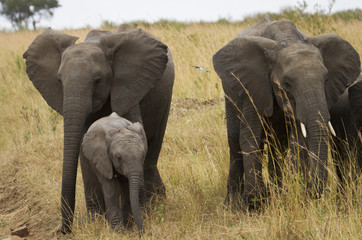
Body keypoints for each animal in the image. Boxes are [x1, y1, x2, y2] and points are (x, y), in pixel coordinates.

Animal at [23, 25, 175, 233]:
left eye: (98, 80)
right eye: (59, 81)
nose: (64, 230)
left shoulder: (129, 88)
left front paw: (141, 215)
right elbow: (82, 146)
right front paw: (94, 221)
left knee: (153, 148)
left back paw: (156, 204)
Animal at [212, 15, 360, 208]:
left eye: (326, 79)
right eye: (286, 83)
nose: (313, 190)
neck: (287, 40)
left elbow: (298, 140)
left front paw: (295, 196)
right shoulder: (253, 86)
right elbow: (250, 135)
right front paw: (254, 202)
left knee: (278, 146)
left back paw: (277, 193)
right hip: (230, 95)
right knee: (235, 140)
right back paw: (232, 204)